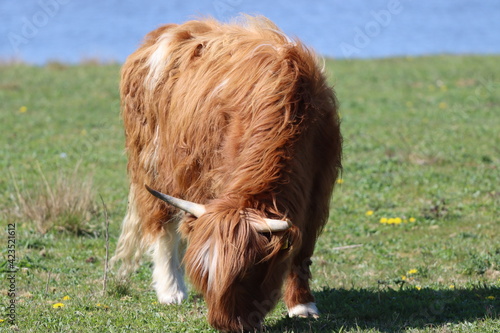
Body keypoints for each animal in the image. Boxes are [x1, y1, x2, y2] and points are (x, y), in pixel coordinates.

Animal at [111, 14, 342, 330]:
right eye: (205, 275)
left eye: (246, 274)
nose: (224, 325)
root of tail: (166, 32)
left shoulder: (319, 186)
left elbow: (302, 249)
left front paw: (303, 305)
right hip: (152, 163)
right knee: (163, 226)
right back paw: (172, 290)